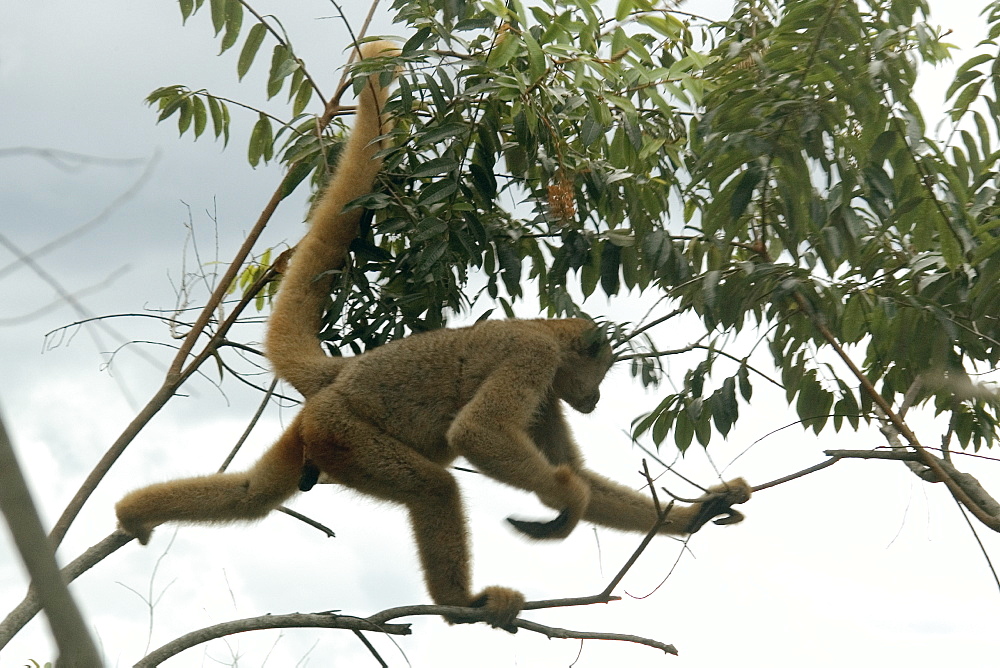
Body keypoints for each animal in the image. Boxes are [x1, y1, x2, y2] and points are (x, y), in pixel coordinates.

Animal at [115, 39, 752, 636]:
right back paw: (461, 604)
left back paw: (133, 512)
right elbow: (478, 434)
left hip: (316, 432)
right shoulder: (535, 357)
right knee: (434, 487)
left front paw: (694, 514)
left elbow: (582, 475)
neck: (543, 327)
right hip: (347, 433)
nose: (594, 398)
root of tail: (341, 375)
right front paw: (563, 499)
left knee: (250, 495)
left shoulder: (547, 390)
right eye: (602, 373)